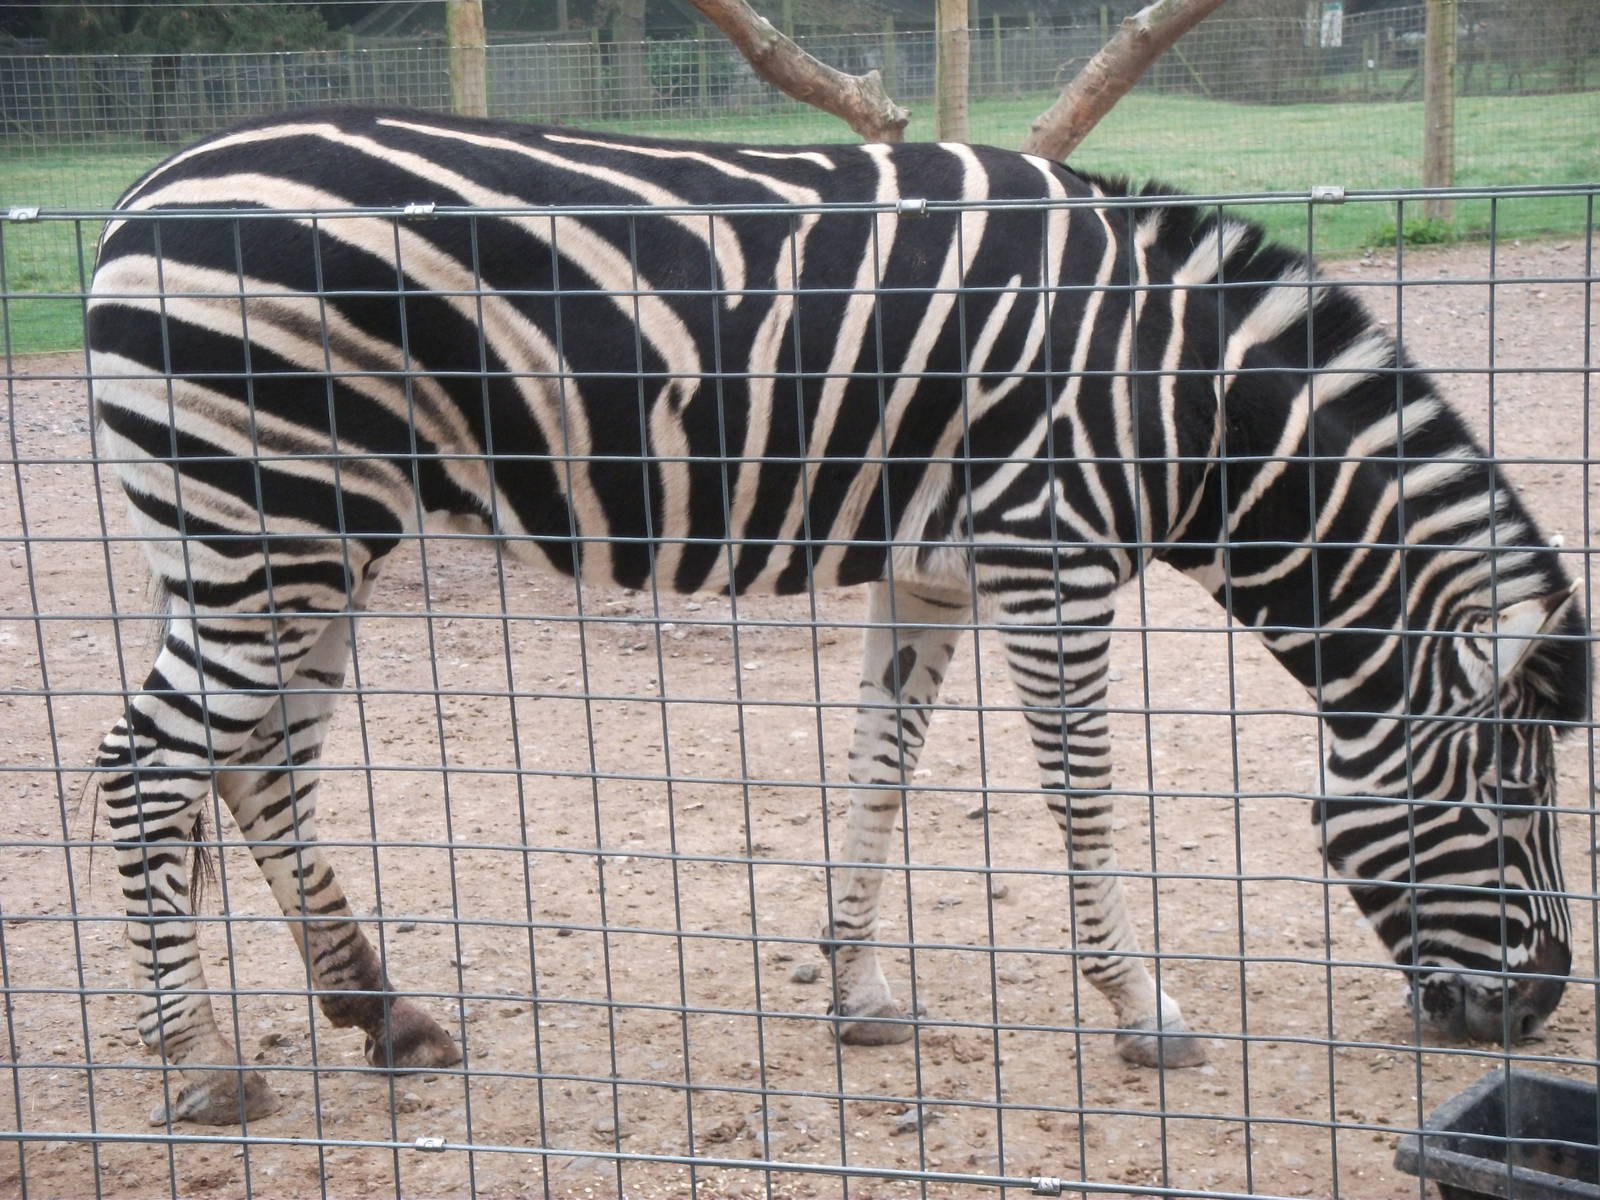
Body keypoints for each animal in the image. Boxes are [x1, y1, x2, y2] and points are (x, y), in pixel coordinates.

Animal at [86, 106, 1588, 1126]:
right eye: (1514, 798)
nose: (1539, 1008)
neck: (1182, 404)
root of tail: (139, 196)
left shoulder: (930, 572)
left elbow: (881, 773)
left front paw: (859, 995)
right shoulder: (1052, 554)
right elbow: (1085, 797)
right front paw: (1144, 1010)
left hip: (306, 534)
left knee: (258, 762)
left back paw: (379, 1010)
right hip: (270, 516)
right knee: (149, 761)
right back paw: (199, 1066)